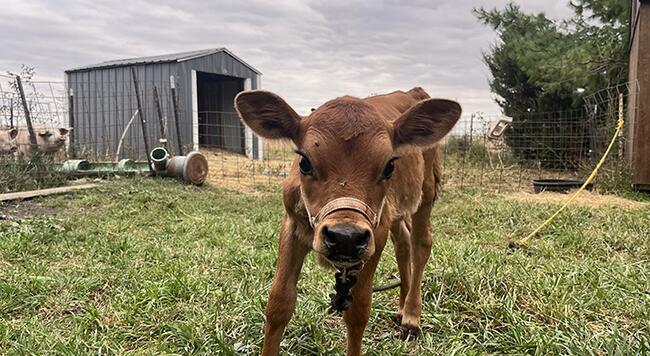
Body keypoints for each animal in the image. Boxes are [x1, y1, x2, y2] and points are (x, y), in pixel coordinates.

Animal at [235, 87, 458, 356]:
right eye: (304, 162)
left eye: (389, 166)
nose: (345, 238)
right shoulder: (291, 225)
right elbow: (279, 302)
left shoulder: (374, 237)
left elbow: (358, 312)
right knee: (403, 242)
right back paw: (402, 305)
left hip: (425, 191)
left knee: (421, 244)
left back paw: (411, 315)